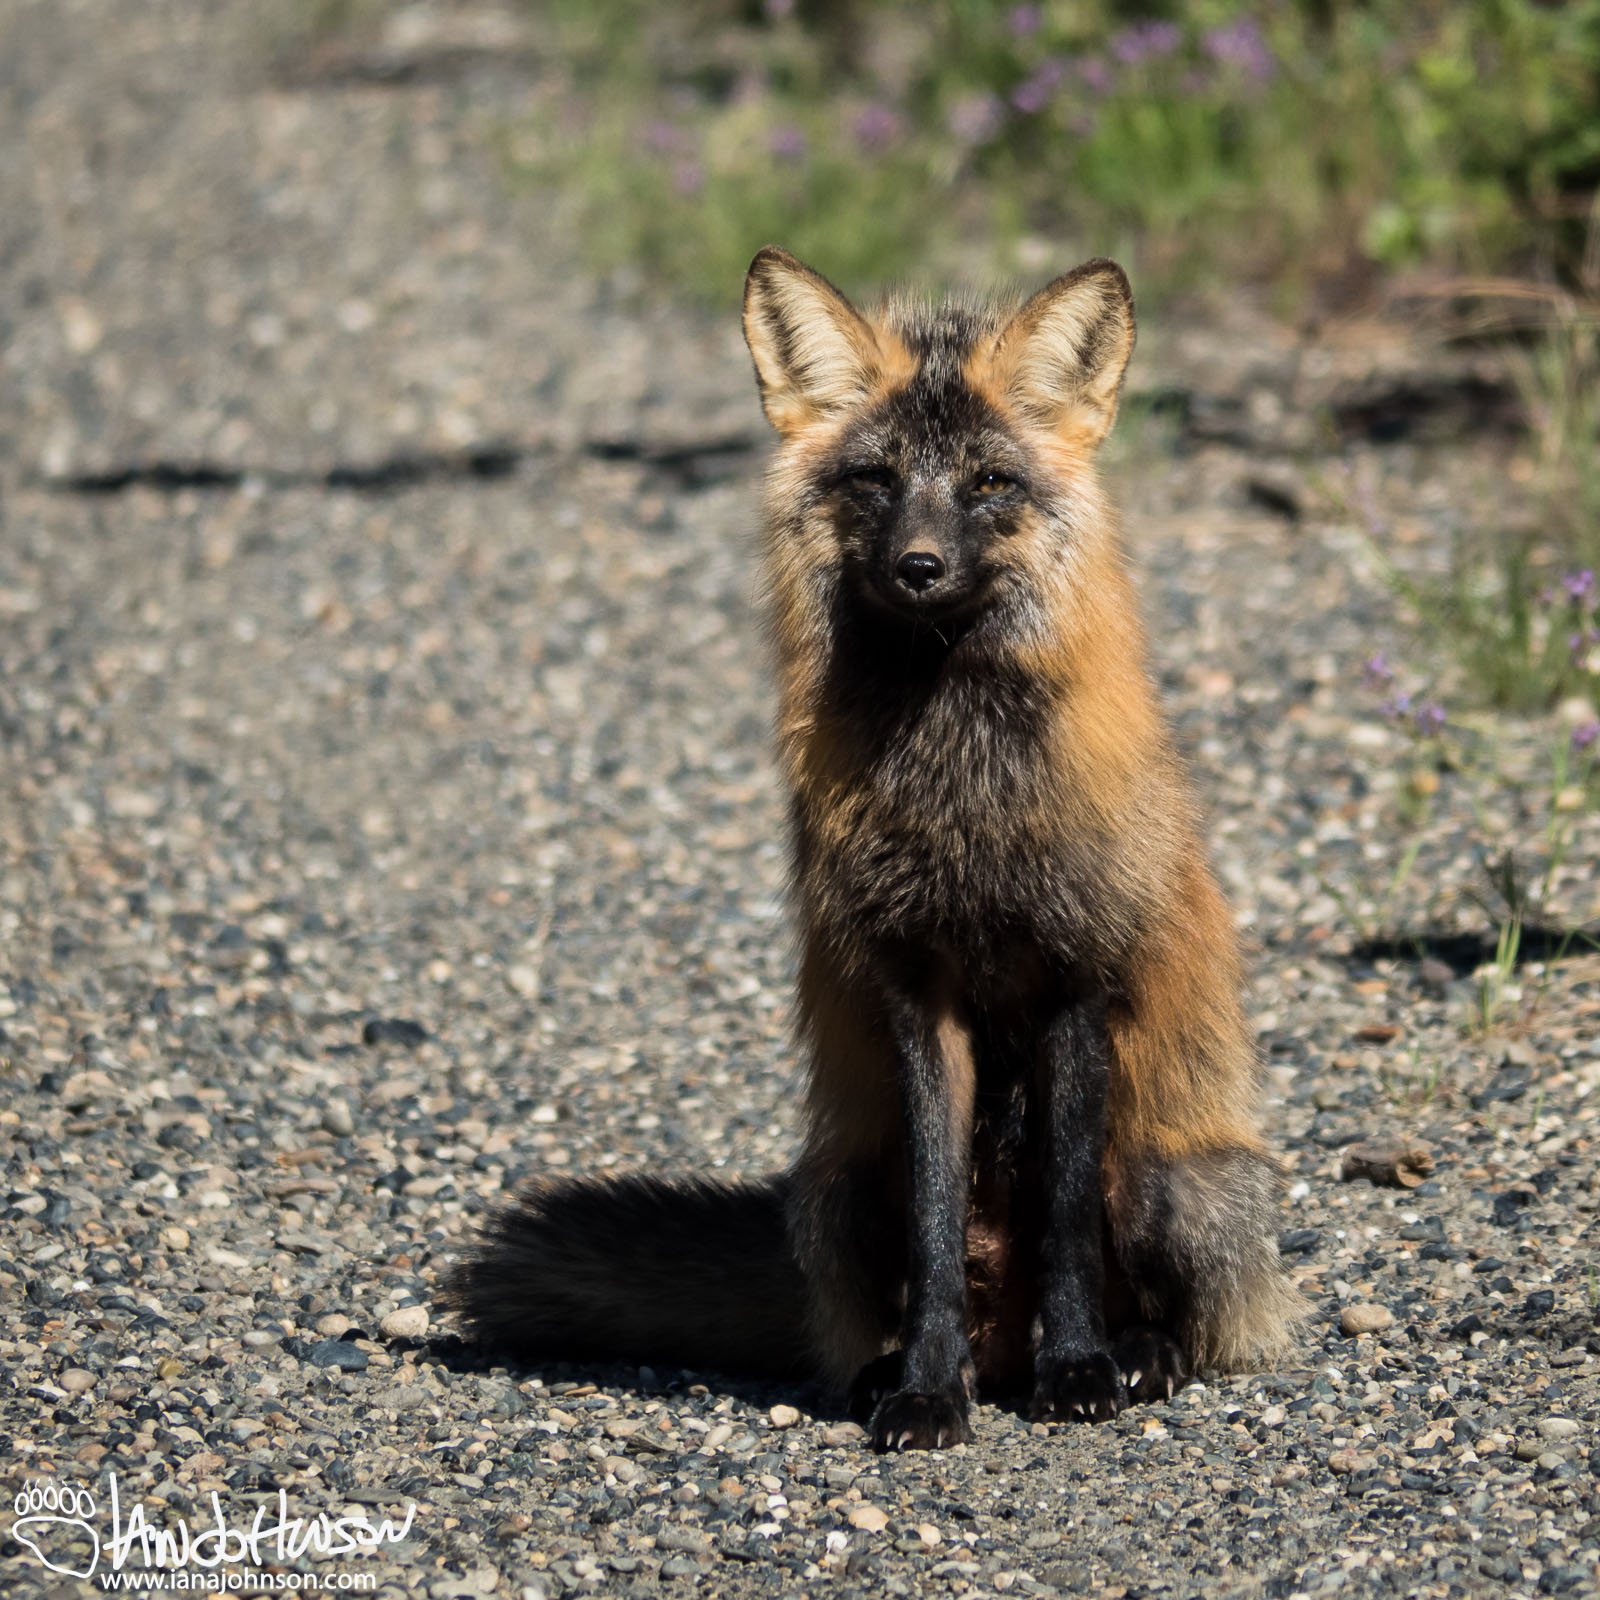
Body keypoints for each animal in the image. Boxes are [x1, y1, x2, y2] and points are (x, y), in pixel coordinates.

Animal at [447, 247, 1300, 1451]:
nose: (920, 567)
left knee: (1183, 1308)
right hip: (846, 1195)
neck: (959, 801)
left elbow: (1064, 1225)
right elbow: (938, 1237)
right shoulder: (913, 990)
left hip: (1172, 1185)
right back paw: (903, 1371)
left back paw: (1137, 1356)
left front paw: (1080, 1370)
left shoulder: (1076, 982)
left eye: (988, 483)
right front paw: (927, 1393)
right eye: (875, 480)